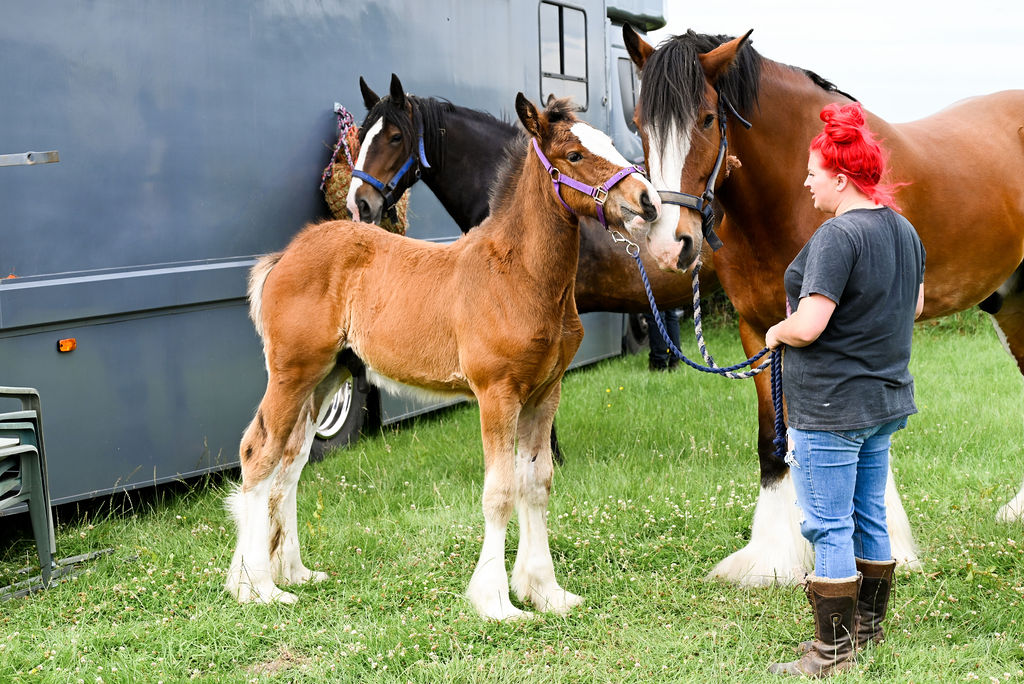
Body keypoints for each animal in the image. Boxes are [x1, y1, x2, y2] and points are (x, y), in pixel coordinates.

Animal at [225, 93, 659, 618]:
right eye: (574, 156)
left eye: (610, 143)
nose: (648, 201)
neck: (520, 274)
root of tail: (283, 257)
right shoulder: (498, 394)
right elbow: (500, 492)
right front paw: (497, 601)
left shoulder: (544, 393)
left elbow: (536, 483)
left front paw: (545, 590)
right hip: (293, 373)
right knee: (259, 454)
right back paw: (257, 587)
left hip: (327, 377)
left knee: (290, 465)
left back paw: (293, 572)